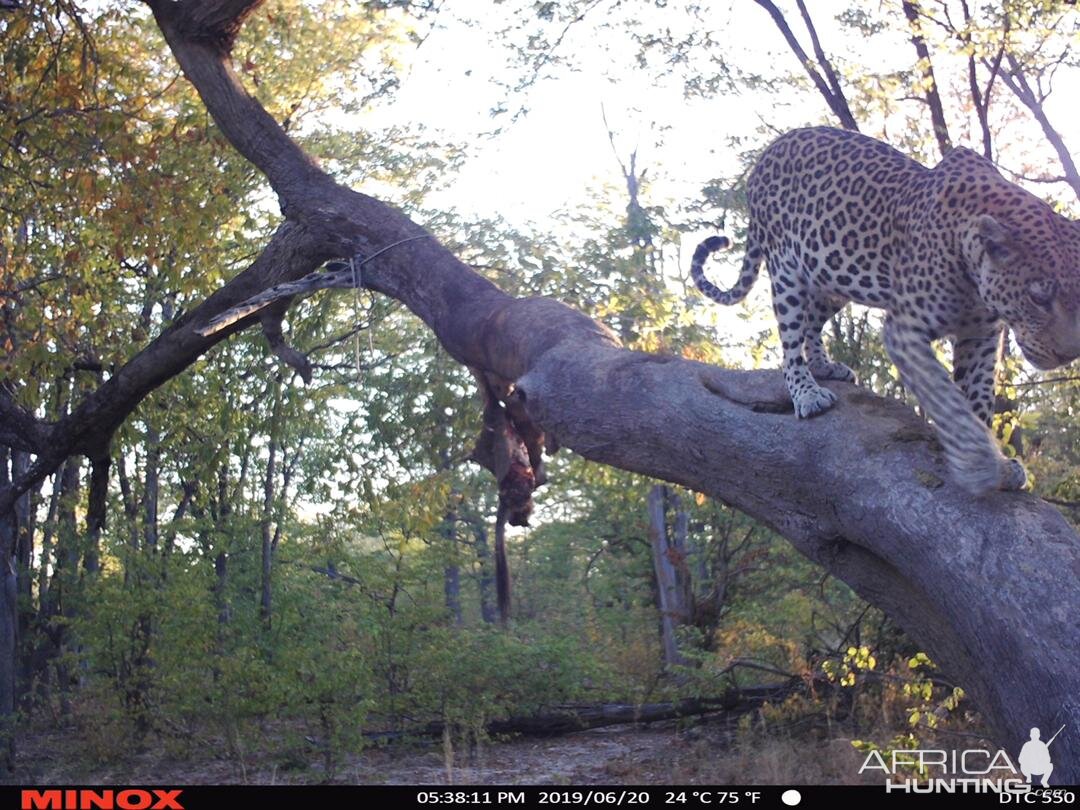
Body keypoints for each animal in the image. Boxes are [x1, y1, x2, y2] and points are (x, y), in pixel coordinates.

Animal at [691, 127, 1080, 498]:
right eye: (1038, 298)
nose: (1068, 353)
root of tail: (765, 156)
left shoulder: (982, 336)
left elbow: (979, 399)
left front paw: (996, 463)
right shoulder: (906, 332)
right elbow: (947, 399)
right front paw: (979, 464)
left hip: (832, 274)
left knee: (812, 323)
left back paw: (824, 366)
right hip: (787, 271)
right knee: (789, 343)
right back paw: (808, 393)